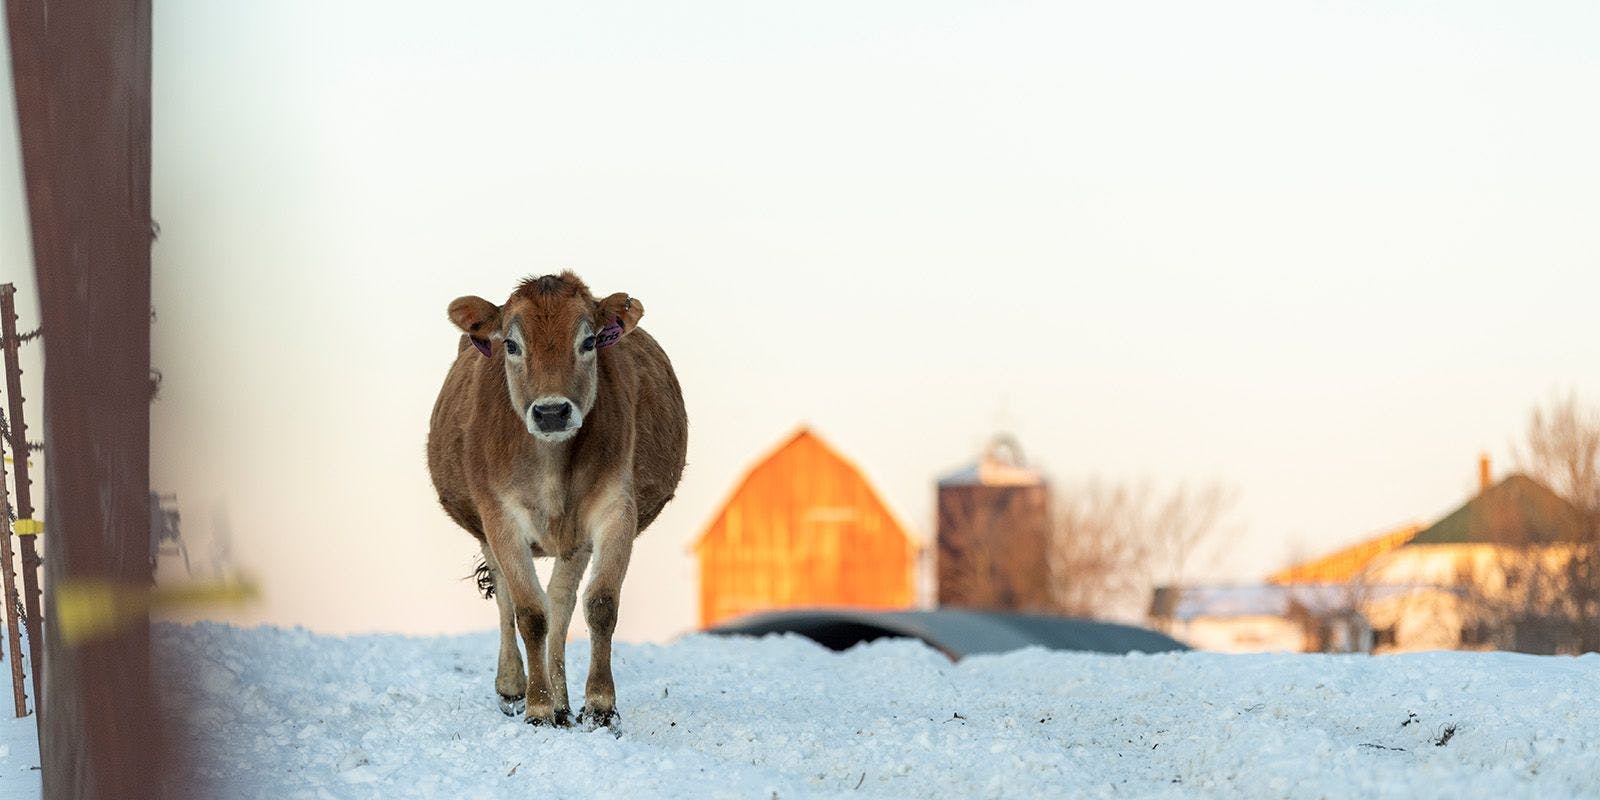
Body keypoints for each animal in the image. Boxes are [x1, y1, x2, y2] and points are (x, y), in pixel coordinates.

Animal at [428, 272, 684, 729]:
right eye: (512, 345)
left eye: (588, 341)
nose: (550, 412)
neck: (551, 466)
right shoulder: (499, 518)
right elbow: (529, 613)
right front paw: (537, 707)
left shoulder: (616, 511)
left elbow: (599, 604)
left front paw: (599, 706)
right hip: (485, 531)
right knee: (509, 598)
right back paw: (513, 687)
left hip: (573, 540)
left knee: (561, 603)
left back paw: (564, 704)